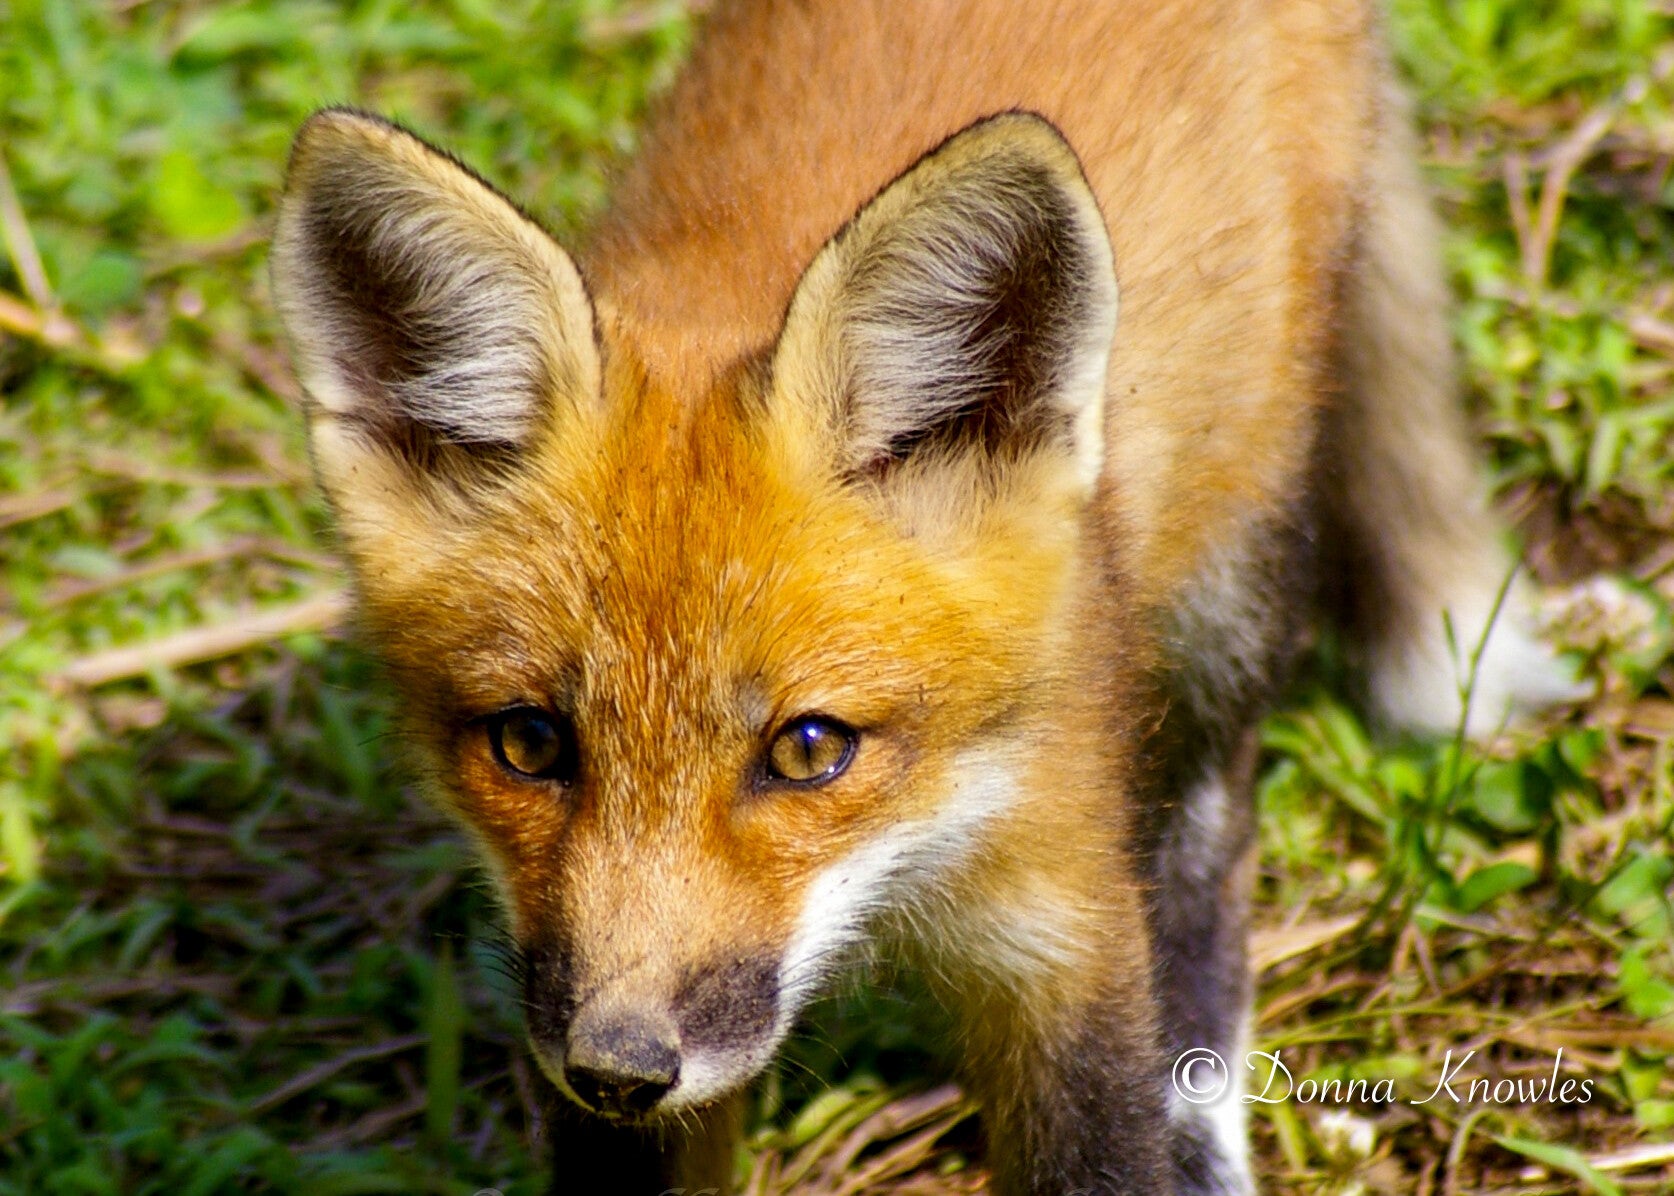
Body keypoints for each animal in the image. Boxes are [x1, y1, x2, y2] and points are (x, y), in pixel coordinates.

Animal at [268, 0, 1580, 1192]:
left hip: (1233, 582)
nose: (619, 1063)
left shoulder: (1063, 933)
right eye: (531, 741)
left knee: (1209, 862)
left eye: (809, 748)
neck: (914, 853)